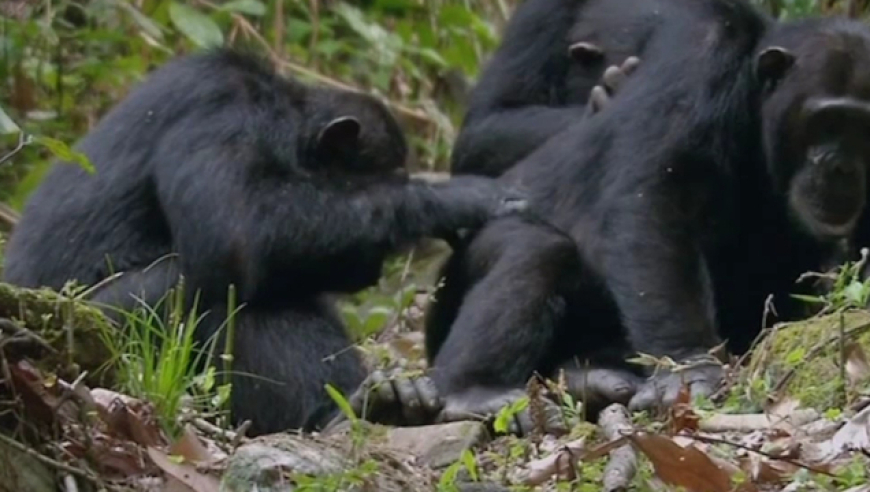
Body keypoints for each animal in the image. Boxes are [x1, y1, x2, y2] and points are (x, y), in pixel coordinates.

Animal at [3, 48, 528, 436]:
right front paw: (452, 198)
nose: (375, 265)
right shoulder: (225, 112)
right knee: (208, 287)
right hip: (89, 332)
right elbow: (233, 235)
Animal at [426, 0, 870, 430]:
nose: (844, 167)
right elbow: (657, 194)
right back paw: (474, 391)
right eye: (827, 120)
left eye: (861, 127)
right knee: (533, 249)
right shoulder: (700, 58)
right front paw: (688, 366)